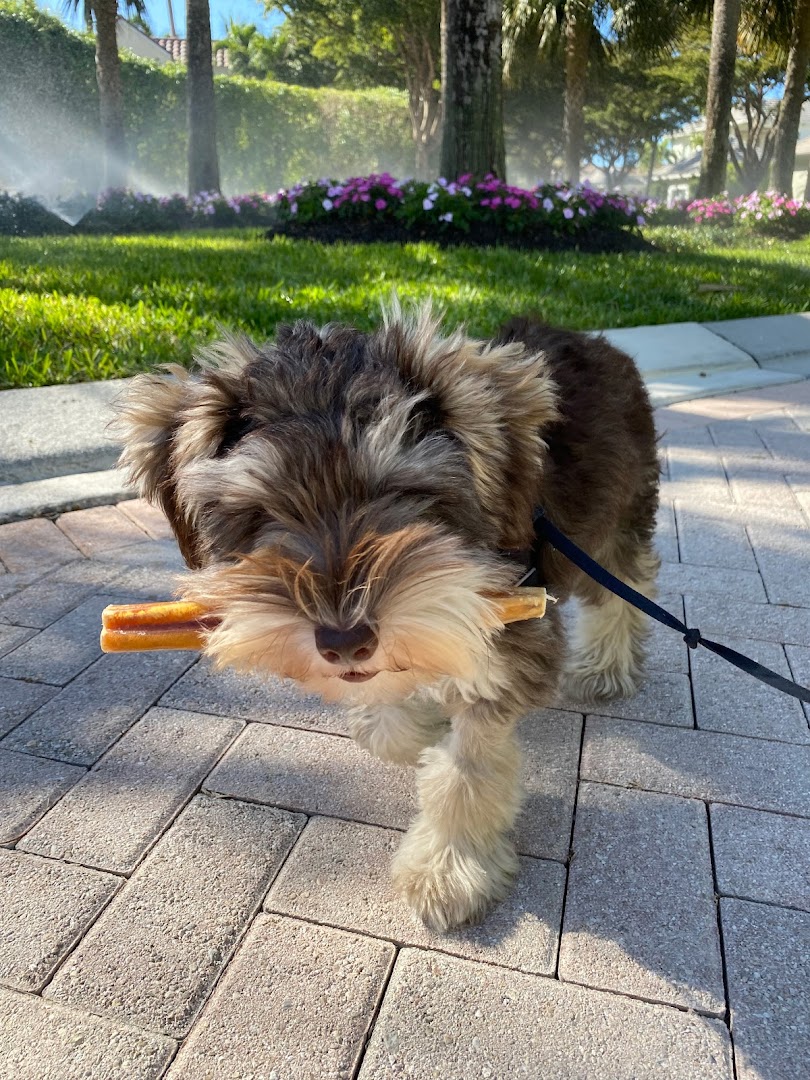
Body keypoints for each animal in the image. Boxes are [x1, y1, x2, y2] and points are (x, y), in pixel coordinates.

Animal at [114, 302, 660, 928]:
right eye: (259, 511)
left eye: (404, 492)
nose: (344, 640)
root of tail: (594, 339)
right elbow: (388, 715)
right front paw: (413, 727)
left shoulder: (509, 647)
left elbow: (465, 773)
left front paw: (447, 872)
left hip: (614, 522)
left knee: (627, 588)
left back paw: (608, 667)